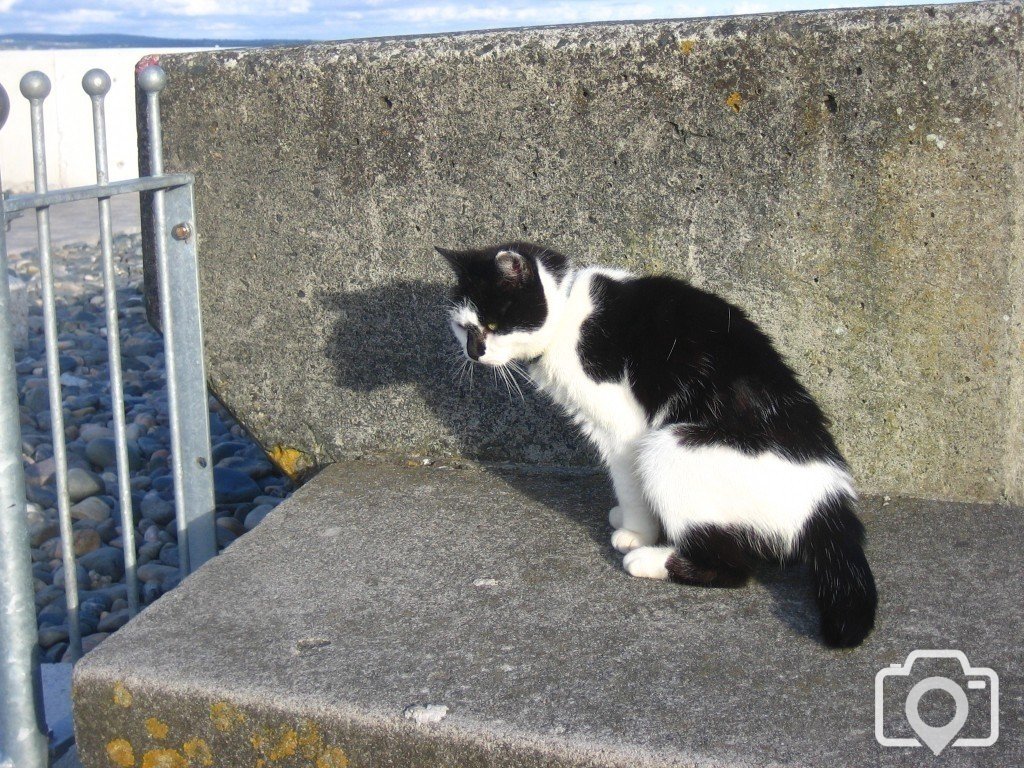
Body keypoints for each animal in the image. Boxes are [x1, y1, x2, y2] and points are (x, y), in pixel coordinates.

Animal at [436, 241, 876, 651]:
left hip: (668, 446)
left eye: (493, 323)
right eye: (462, 326)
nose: (473, 352)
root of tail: (828, 500)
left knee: (733, 568)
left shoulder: (624, 430)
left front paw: (636, 532)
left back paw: (649, 560)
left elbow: (629, 484)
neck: (568, 313)